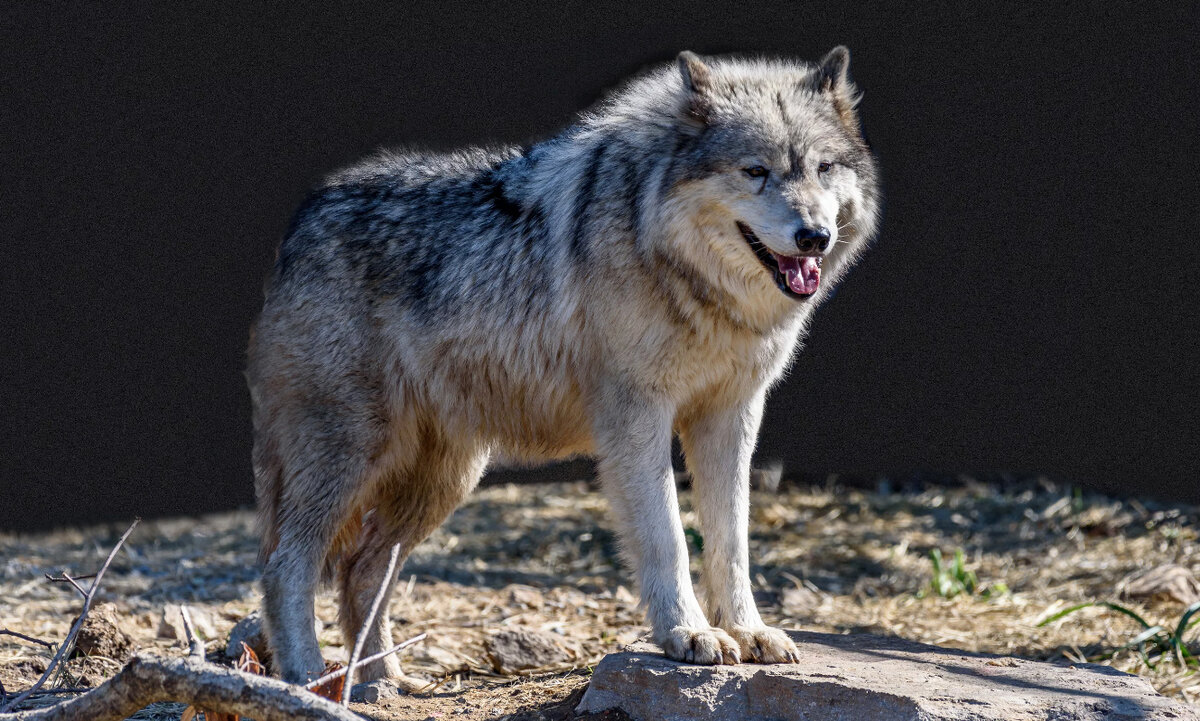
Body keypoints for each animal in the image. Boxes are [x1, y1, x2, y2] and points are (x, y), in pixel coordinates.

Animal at [246, 46, 883, 681]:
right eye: (756, 171)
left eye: (824, 168)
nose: (814, 236)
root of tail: (298, 225)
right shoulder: (638, 418)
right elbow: (669, 539)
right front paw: (689, 634)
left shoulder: (731, 417)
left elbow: (731, 541)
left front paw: (747, 632)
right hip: (355, 454)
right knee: (286, 564)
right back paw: (307, 677)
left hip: (443, 477)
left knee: (361, 568)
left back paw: (384, 682)